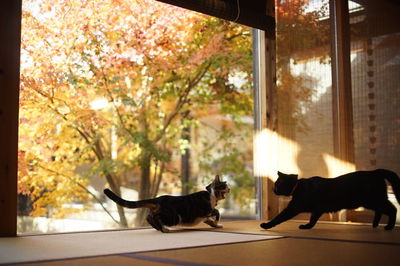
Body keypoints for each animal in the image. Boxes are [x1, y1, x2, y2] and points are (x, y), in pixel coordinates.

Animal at [260, 169, 400, 230]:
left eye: (277, 184)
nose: (273, 189)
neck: (298, 187)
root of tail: (375, 172)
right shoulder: (317, 210)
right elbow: (313, 219)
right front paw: (308, 226)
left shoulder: (294, 207)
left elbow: (279, 217)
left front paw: (266, 225)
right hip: (373, 201)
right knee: (380, 211)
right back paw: (375, 224)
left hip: (374, 200)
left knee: (392, 209)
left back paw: (389, 227)